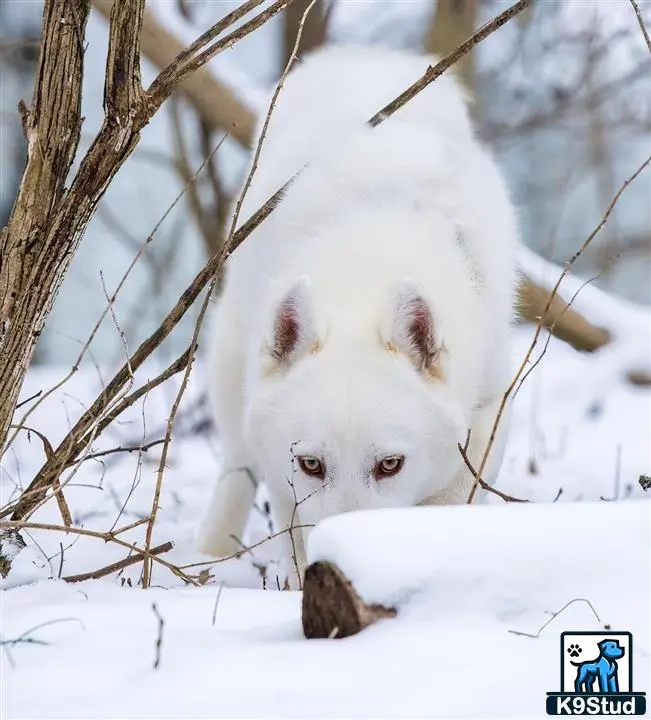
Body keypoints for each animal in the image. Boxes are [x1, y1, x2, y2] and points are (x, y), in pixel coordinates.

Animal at [196, 45, 519, 587]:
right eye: (311, 464)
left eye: (390, 465)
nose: (335, 568)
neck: (369, 255)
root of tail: (362, 56)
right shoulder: (287, 479)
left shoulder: (487, 405)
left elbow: (451, 498)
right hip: (233, 369)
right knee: (236, 467)